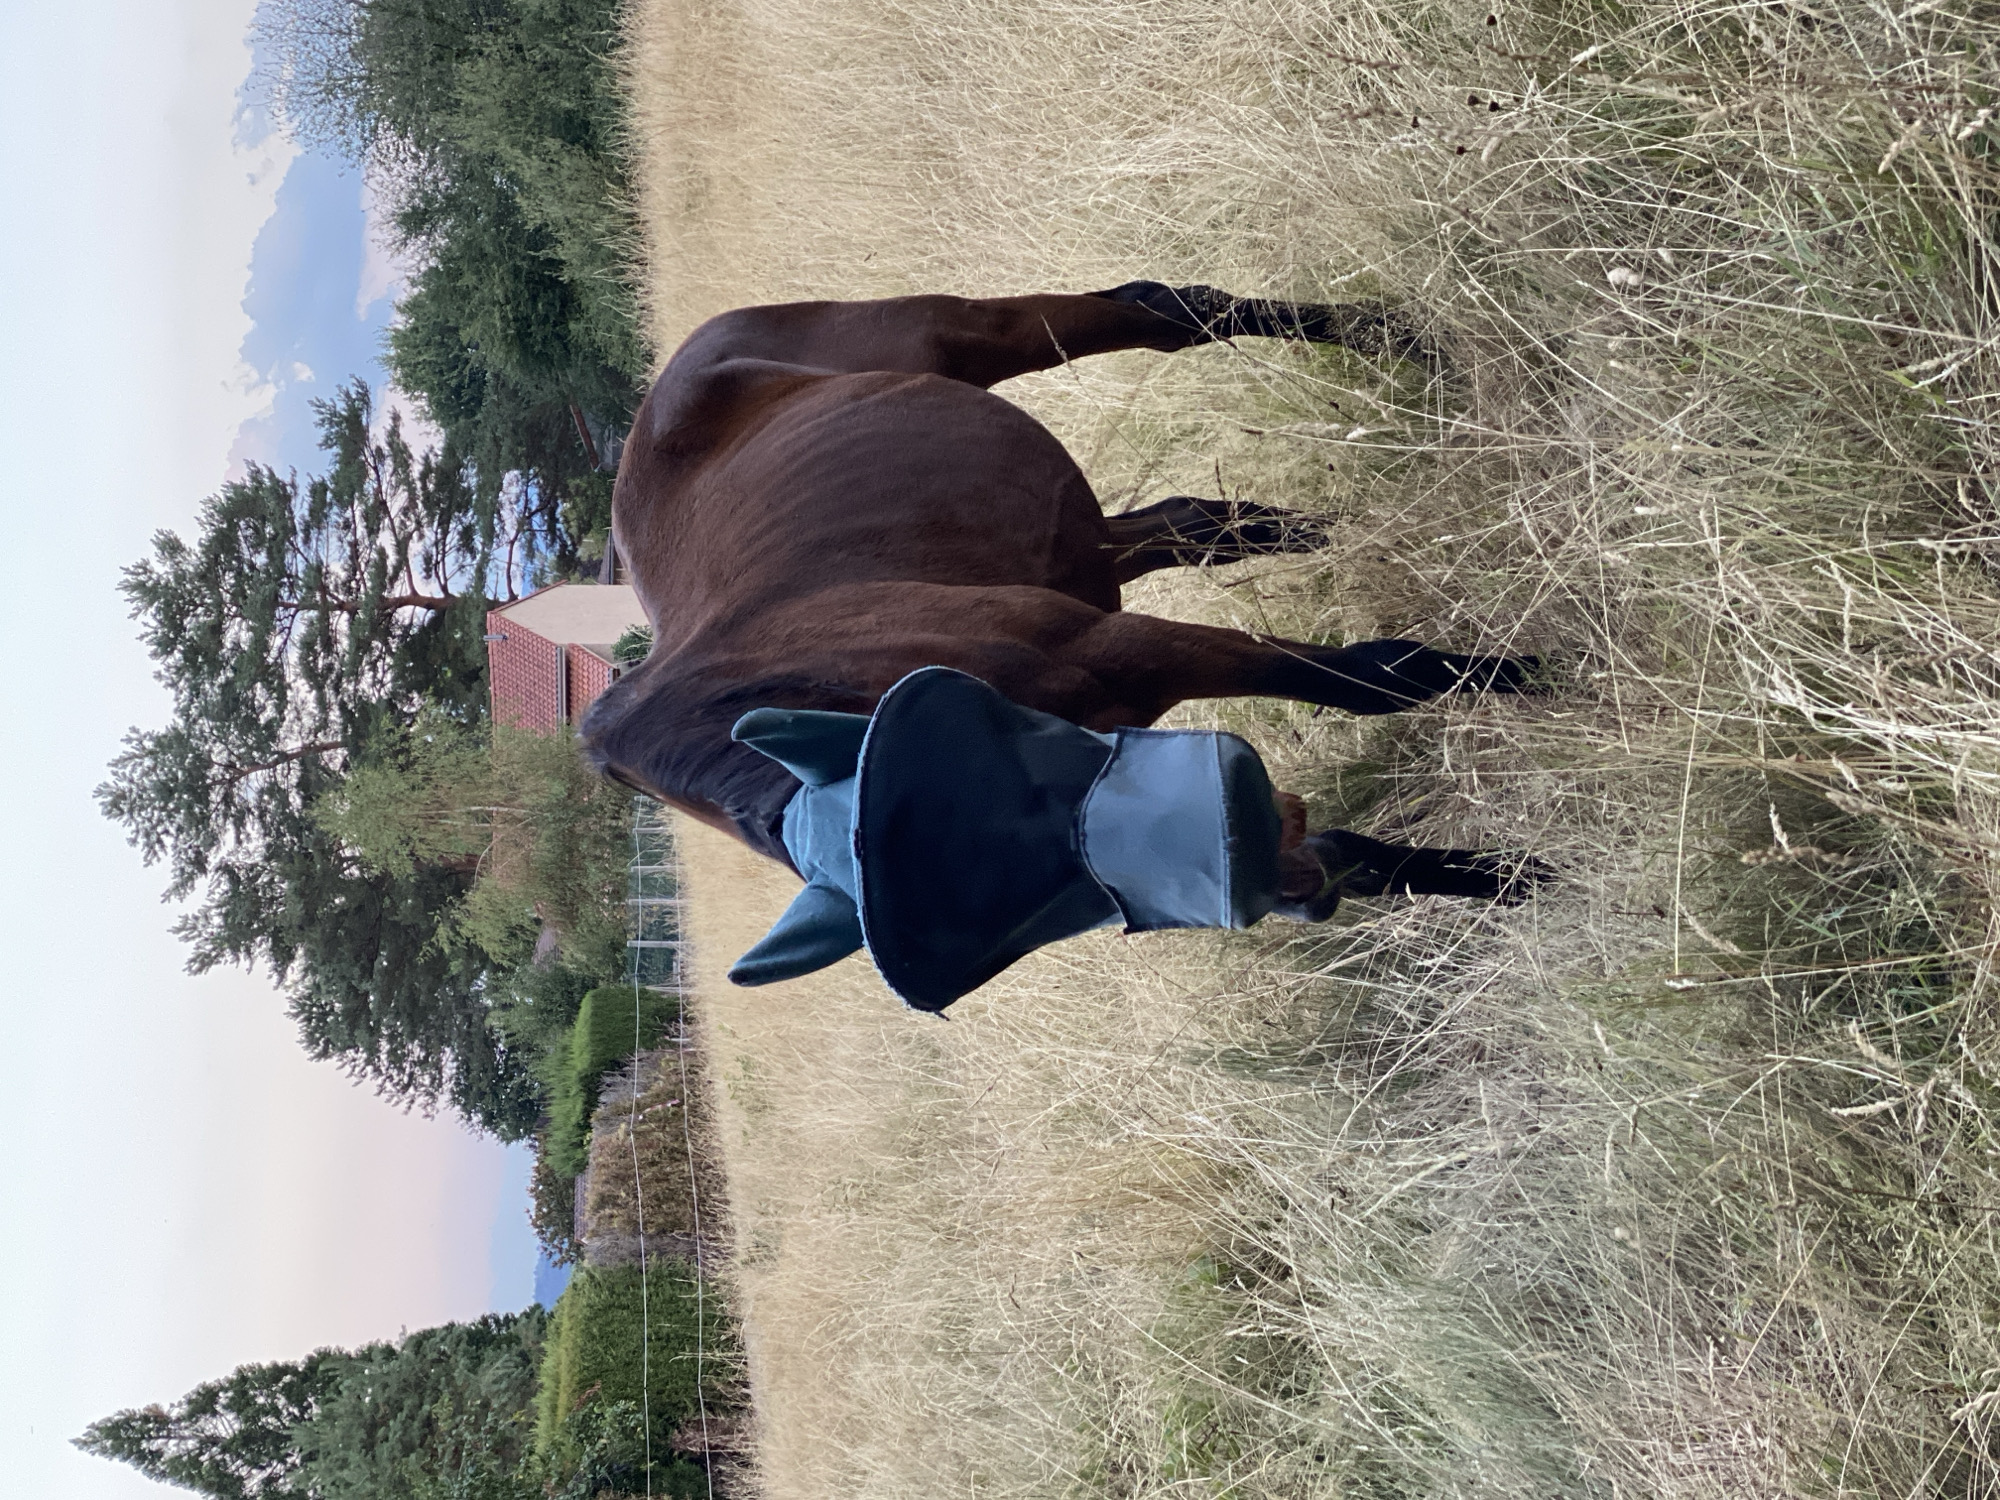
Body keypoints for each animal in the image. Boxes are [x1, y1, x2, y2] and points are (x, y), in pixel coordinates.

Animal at [582, 281, 1541, 876]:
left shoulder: (1127, 644)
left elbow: (1371, 679)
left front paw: (1537, 676)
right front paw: (1515, 878)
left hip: (968, 339)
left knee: (1161, 311)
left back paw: (1407, 341)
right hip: (1077, 544)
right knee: (1195, 522)